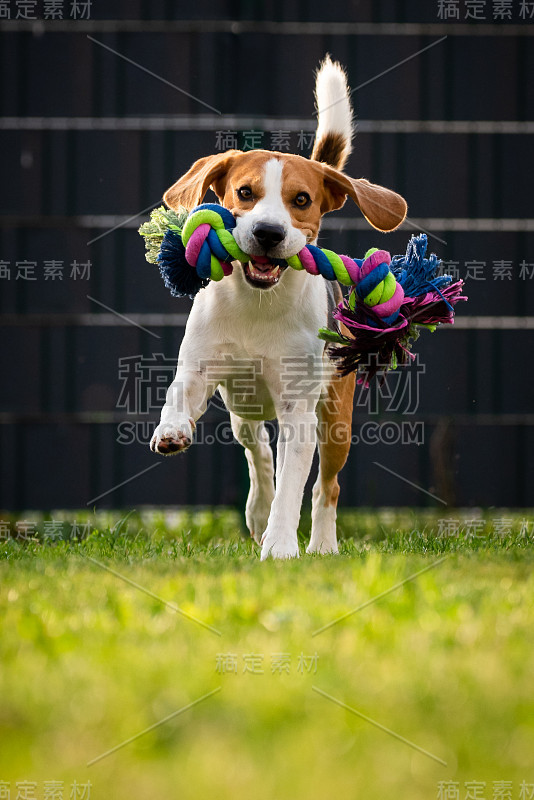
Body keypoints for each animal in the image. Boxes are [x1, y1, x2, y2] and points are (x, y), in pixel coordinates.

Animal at [149, 56, 408, 560]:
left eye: (301, 200)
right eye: (244, 193)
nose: (268, 232)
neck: (258, 304)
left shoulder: (299, 409)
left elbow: (295, 487)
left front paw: (283, 545)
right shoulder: (199, 368)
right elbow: (179, 393)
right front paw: (171, 429)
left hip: (332, 418)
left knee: (324, 486)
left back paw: (320, 543)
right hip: (242, 403)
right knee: (259, 447)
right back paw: (257, 510)